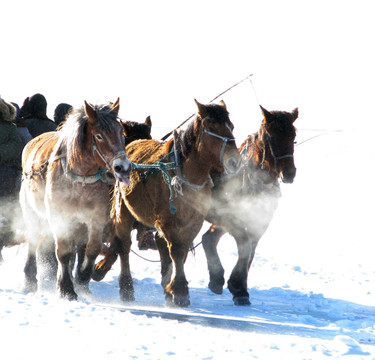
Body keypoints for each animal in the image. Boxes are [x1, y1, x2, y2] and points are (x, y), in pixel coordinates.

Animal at [20, 97, 133, 300]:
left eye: (121, 133)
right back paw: (30, 280)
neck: (80, 180)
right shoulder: (59, 217)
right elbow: (63, 252)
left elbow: (92, 249)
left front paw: (81, 279)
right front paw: (66, 288)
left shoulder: (96, 217)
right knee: (33, 241)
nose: (123, 168)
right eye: (99, 136)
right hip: (31, 211)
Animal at [106, 99, 241, 306]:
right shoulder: (168, 220)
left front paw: (171, 287)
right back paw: (127, 288)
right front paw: (179, 290)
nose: (234, 161)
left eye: (231, 126)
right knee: (124, 246)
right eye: (212, 127)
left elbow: (182, 251)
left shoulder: (194, 221)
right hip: (124, 211)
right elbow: (176, 251)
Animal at [203, 105, 300, 306]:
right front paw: (239, 287)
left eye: (293, 134)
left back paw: (215, 279)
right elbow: (245, 245)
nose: (289, 173)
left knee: (208, 239)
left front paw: (239, 286)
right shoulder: (233, 218)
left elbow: (251, 250)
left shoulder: (260, 220)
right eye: (270, 136)